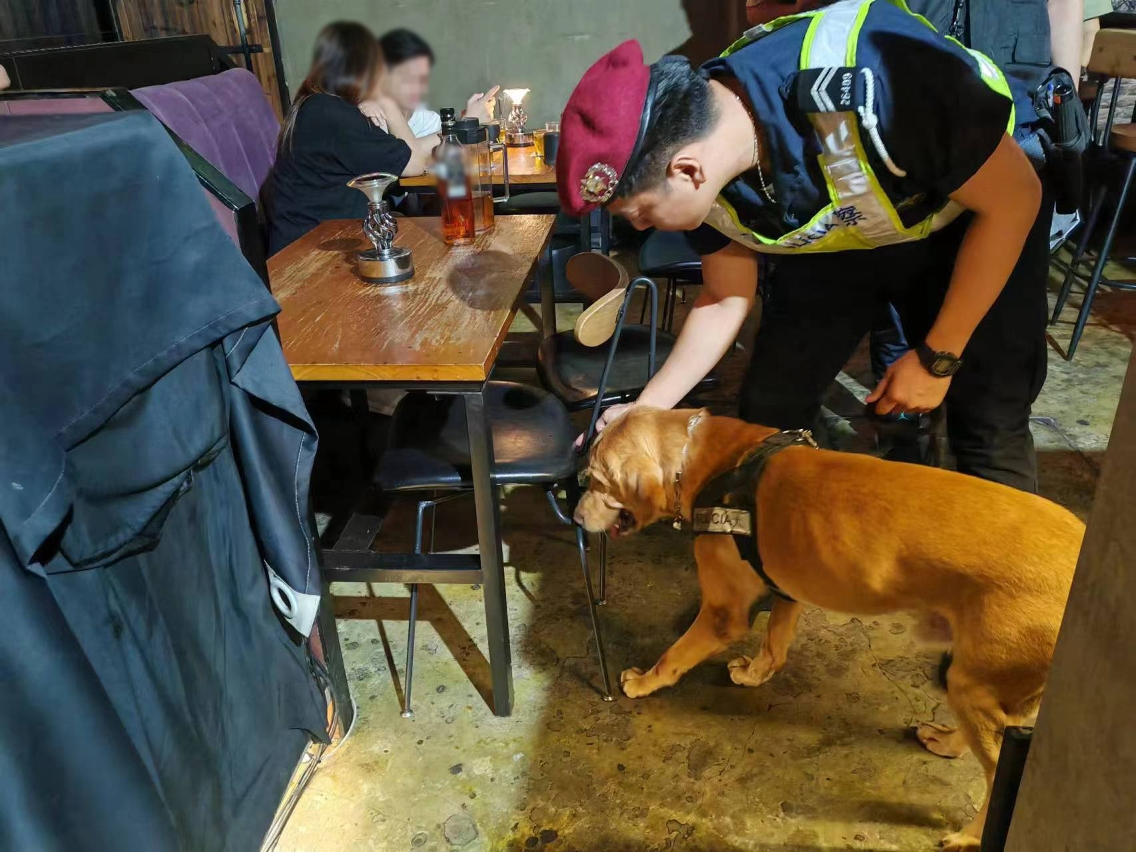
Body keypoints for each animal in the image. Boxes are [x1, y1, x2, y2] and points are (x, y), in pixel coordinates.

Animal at [574, 407, 1083, 851]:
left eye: (595, 480)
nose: (576, 517)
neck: (700, 456)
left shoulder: (723, 611)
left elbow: (674, 655)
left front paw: (643, 681)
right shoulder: (785, 587)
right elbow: (775, 646)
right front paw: (755, 674)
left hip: (976, 681)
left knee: (998, 774)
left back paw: (970, 837)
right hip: (987, 684)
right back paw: (947, 741)